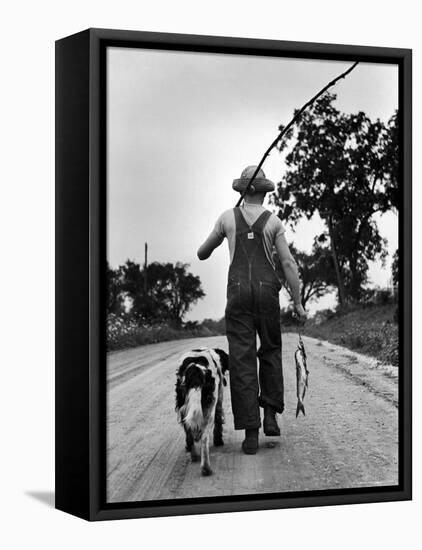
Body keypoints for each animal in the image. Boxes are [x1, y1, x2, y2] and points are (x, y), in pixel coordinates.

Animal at [174, 348, 227, 476]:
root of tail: (196, 371)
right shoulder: (218, 403)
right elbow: (219, 423)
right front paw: (219, 441)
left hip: (183, 408)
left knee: (189, 434)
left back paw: (195, 456)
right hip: (209, 409)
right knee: (204, 438)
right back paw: (206, 468)